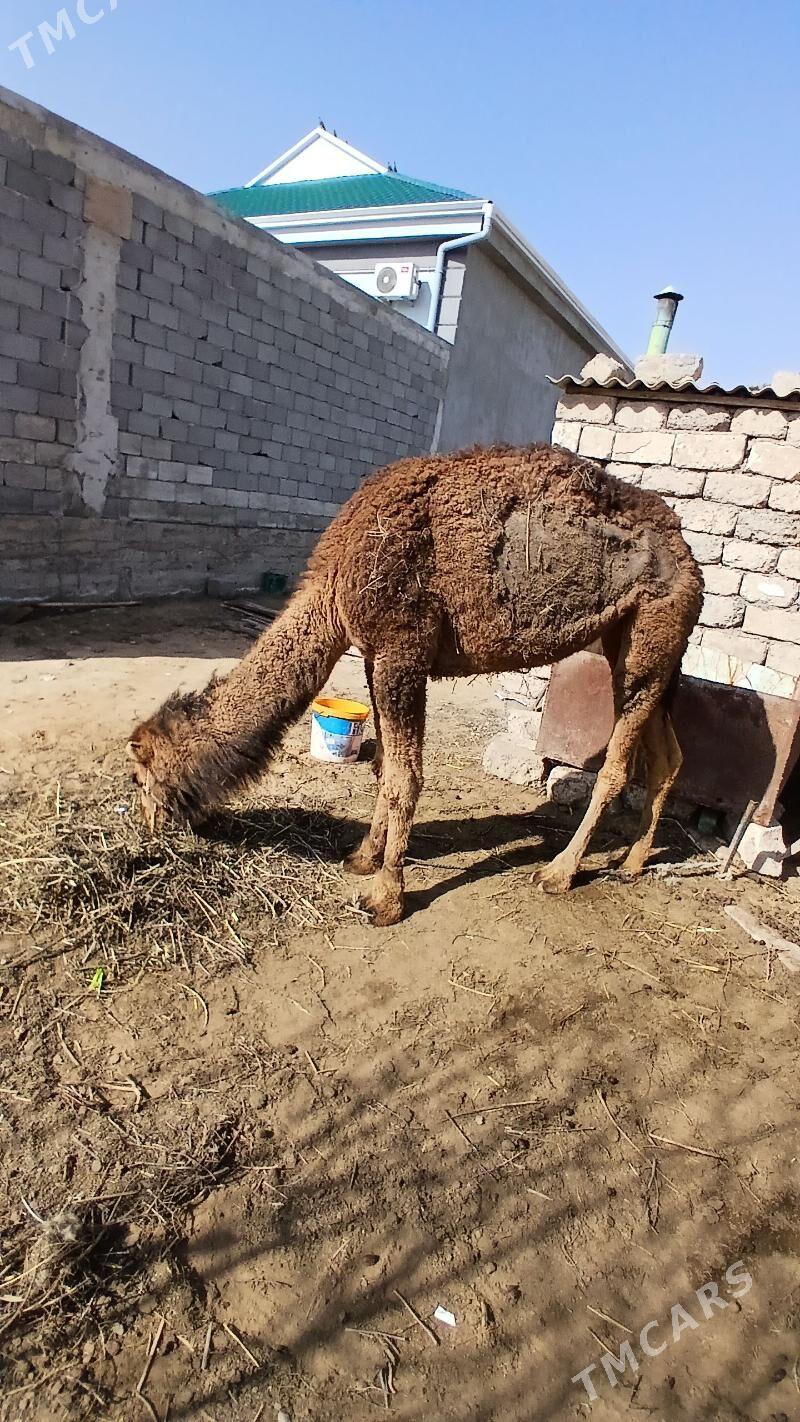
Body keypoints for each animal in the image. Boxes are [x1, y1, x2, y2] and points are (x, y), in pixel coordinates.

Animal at [128, 444, 703, 925]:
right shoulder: (375, 655)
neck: (335, 586)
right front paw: (362, 858)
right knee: (667, 755)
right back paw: (632, 861)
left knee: (616, 766)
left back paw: (559, 873)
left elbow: (406, 777)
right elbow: (384, 765)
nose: (147, 824)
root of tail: (689, 557)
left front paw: (385, 898)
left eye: (139, 778)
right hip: (640, 644)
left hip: (653, 630)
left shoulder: (403, 650)